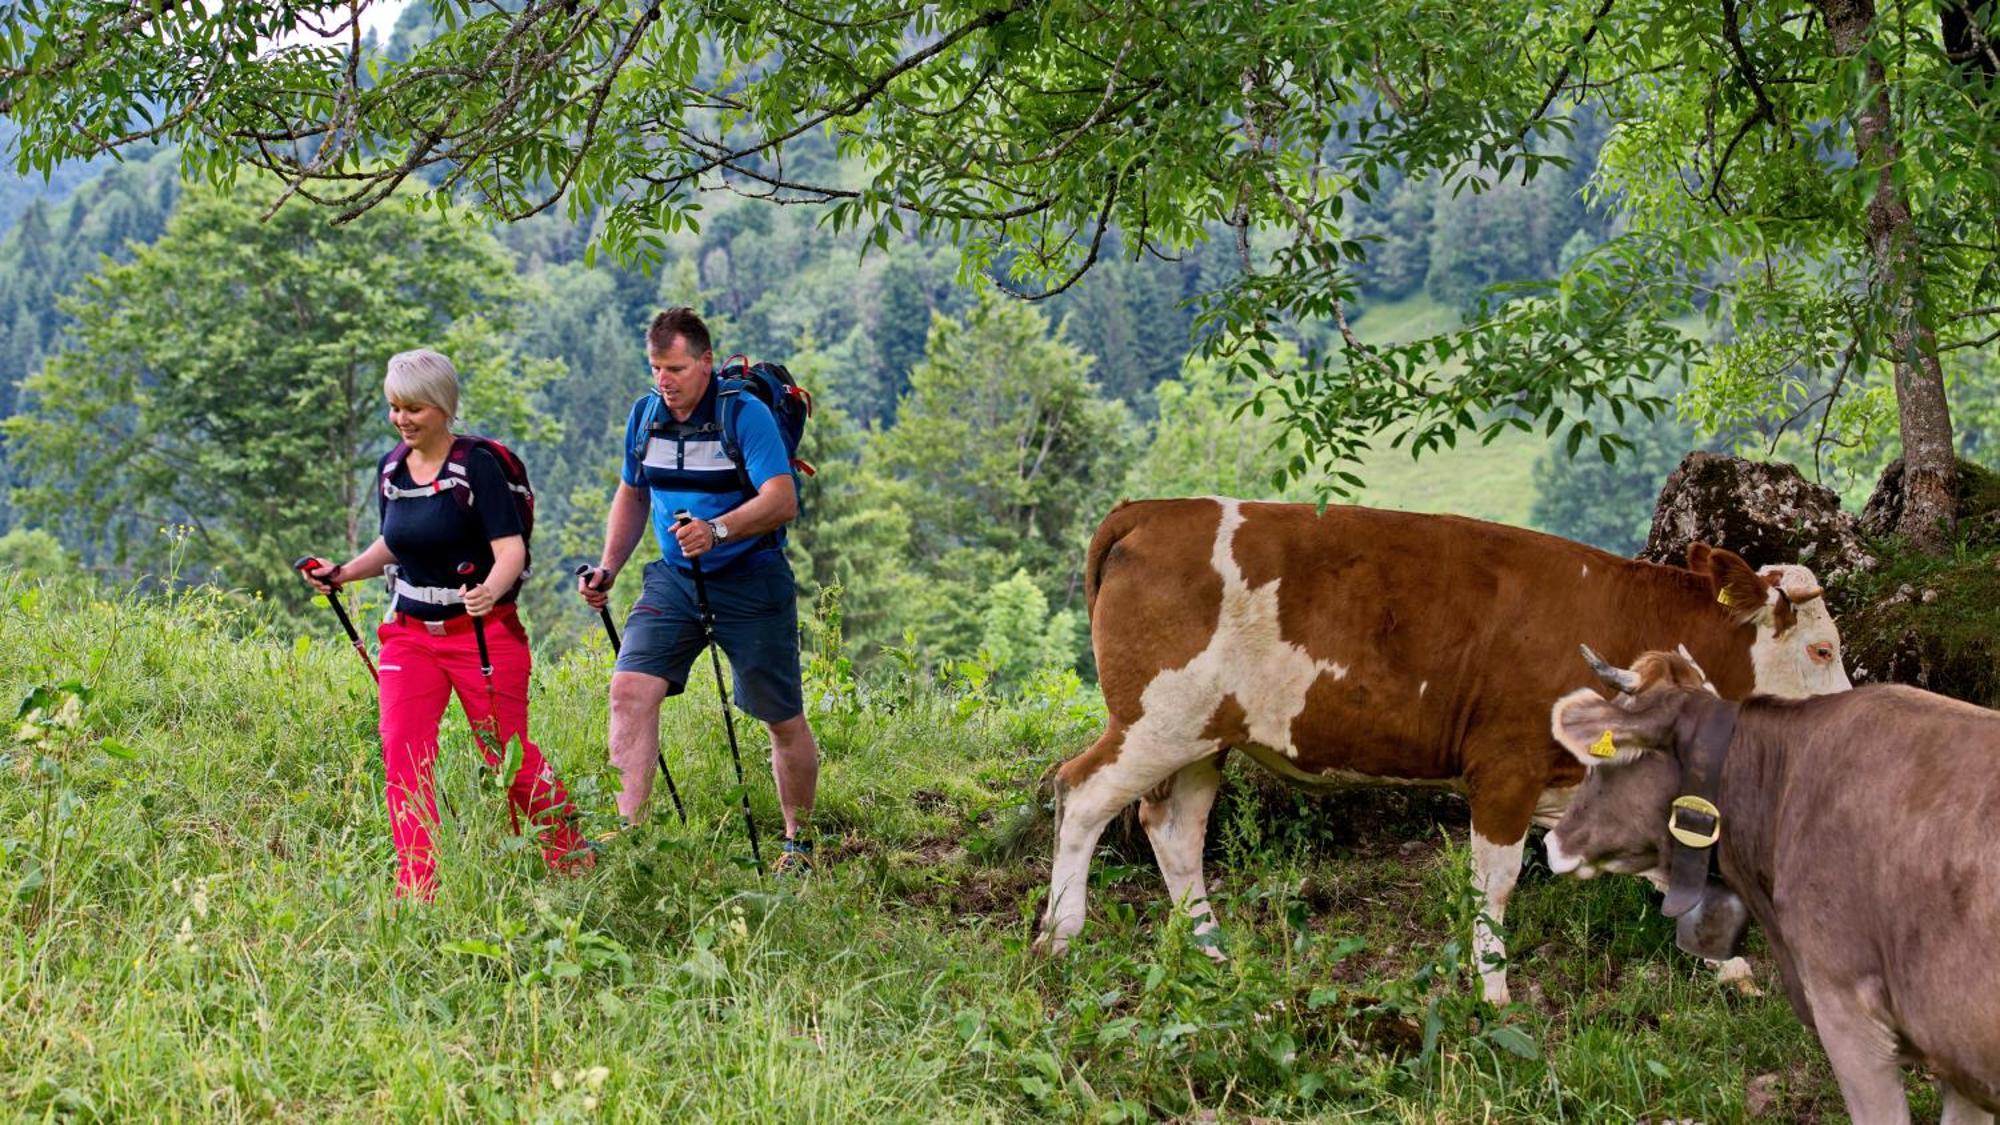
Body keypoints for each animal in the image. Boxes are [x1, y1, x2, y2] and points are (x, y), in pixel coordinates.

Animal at [1040, 496, 1848, 996]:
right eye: (1821, 649)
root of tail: (1155, 509)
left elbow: (1660, 865)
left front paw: (1726, 964)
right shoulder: (1505, 765)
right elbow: (1495, 884)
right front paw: (1493, 992)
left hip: (1204, 735)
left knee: (1174, 829)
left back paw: (1208, 948)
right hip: (1154, 720)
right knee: (1081, 792)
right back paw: (1059, 937)